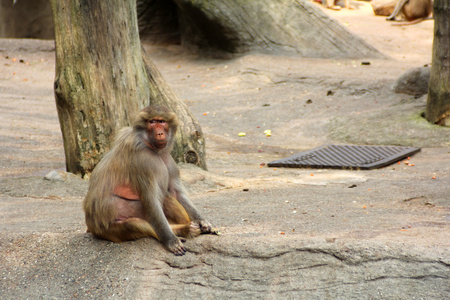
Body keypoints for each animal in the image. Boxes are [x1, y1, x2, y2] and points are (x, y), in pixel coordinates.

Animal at [83, 105, 214, 255]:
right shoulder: (146, 162)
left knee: (166, 198)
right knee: (133, 224)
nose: (160, 133)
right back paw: (183, 230)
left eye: (162, 121)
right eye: (152, 122)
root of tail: (91, 225)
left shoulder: (169, 161)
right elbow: (151, 200)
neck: (148, 144)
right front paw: (171, 241)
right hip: (108, 228)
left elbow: (176, 193)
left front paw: (202, 221)